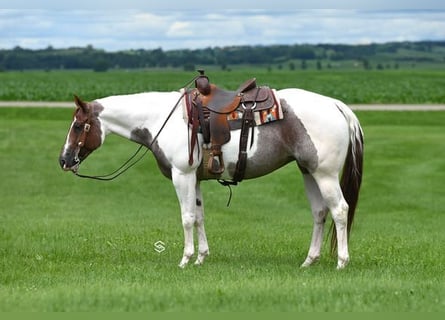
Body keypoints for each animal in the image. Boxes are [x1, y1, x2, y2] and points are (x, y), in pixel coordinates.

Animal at [59, 75, 362, 270]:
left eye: (78, 126)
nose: (64, 160)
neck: (161, 119)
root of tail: (337, 105)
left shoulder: (182, 175)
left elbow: (187, 218)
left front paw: (185, 259)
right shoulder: (195, 178)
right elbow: (200, 216)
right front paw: (201, 257)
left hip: (325, 174)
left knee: (340, 210)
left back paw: (342, 262)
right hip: (308, 171)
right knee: (320, 213)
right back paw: (309, 261)